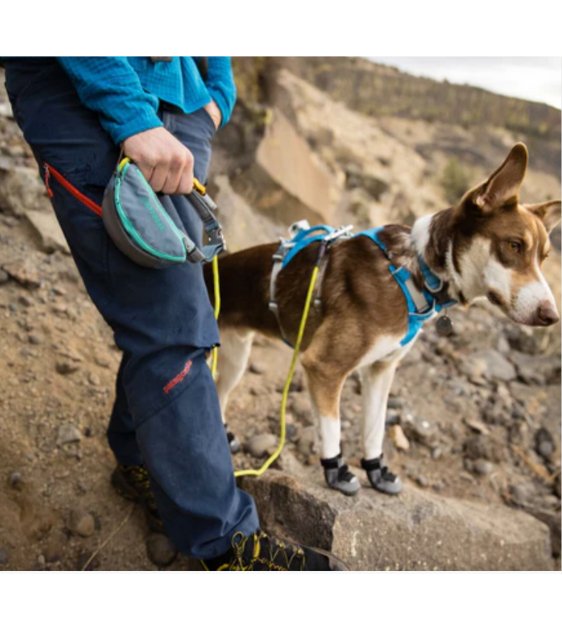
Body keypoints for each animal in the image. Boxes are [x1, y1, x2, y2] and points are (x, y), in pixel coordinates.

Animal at [205, 146, 556, 496]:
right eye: (514, 245)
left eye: (544, 258)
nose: (551, 316)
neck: (413, 271)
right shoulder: (324, 366)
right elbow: (332, 427)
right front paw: (336, 471)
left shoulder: (381, 370)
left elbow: (374, 428)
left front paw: (377, 471)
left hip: (236, 358)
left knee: (219, 392)